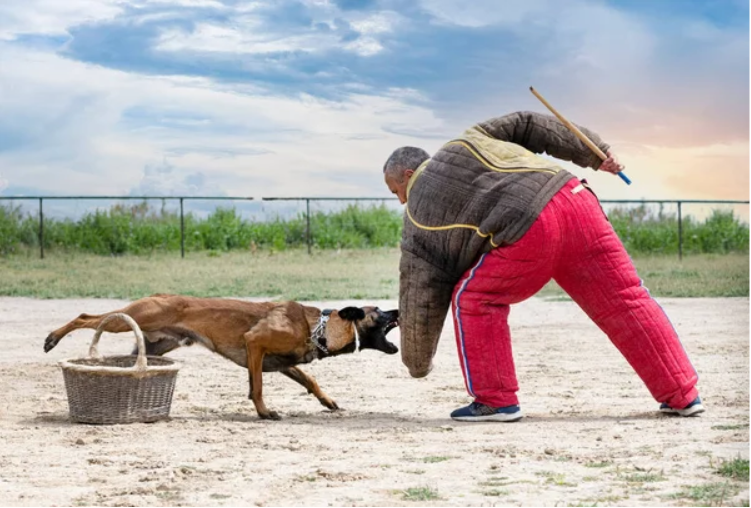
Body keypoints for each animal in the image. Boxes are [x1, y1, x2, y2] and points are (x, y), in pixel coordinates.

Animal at [44, 294, 400, 420]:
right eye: (379, 311)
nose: (398, 309)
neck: (318, 327)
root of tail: (158, 295)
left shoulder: (283, 363)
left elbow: (310, 379)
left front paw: (328, 401)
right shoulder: (255, 344)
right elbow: (257, 387)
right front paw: (264, 412)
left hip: (155, 341)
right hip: (129, 318)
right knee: (87, 316)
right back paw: (52, 338)